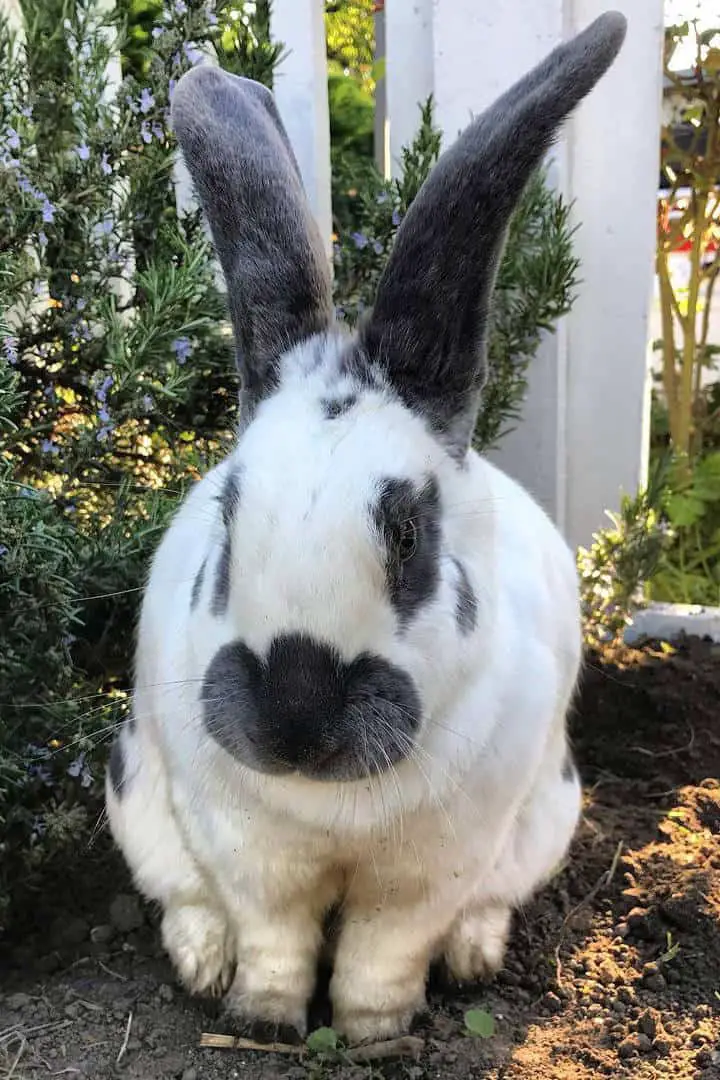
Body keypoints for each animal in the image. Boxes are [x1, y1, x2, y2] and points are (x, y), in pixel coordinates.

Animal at [104, 10, 626, 1045]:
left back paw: (474, 955)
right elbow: (273, 933)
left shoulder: (433, 866)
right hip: (133, 788)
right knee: (183, 896)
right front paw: (262, 1019)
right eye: (229, 518)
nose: (294, 717)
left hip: (548, 813)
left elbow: (386, 948)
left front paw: (374, 1034)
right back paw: (200, 961)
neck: (329, 804)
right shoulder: (246, 848)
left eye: (411, 537)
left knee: (483, 906)